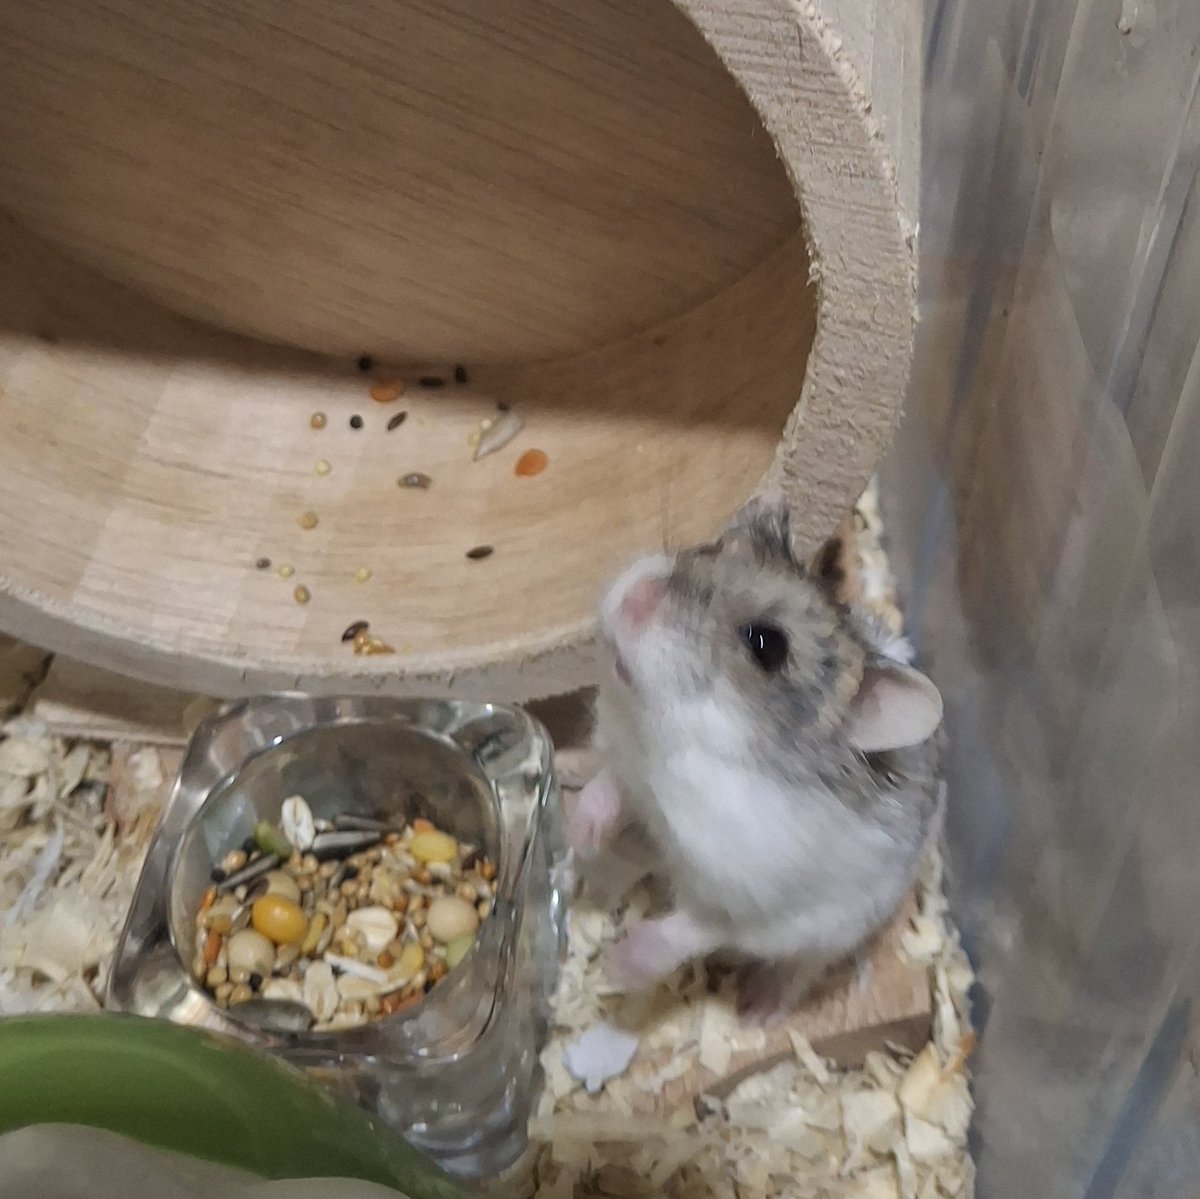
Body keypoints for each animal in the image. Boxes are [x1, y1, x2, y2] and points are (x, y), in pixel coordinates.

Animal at [567, 496, 944, 1023]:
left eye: (768, 646)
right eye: (709, 547)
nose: (636, 597)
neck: (676, 739)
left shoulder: (748, 900)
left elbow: (692, 927)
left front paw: (617, 968)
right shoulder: (626, 756)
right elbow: (611, 783)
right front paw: (581, 834)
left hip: (839, 930)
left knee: (802, 970)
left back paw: (757, 1009)